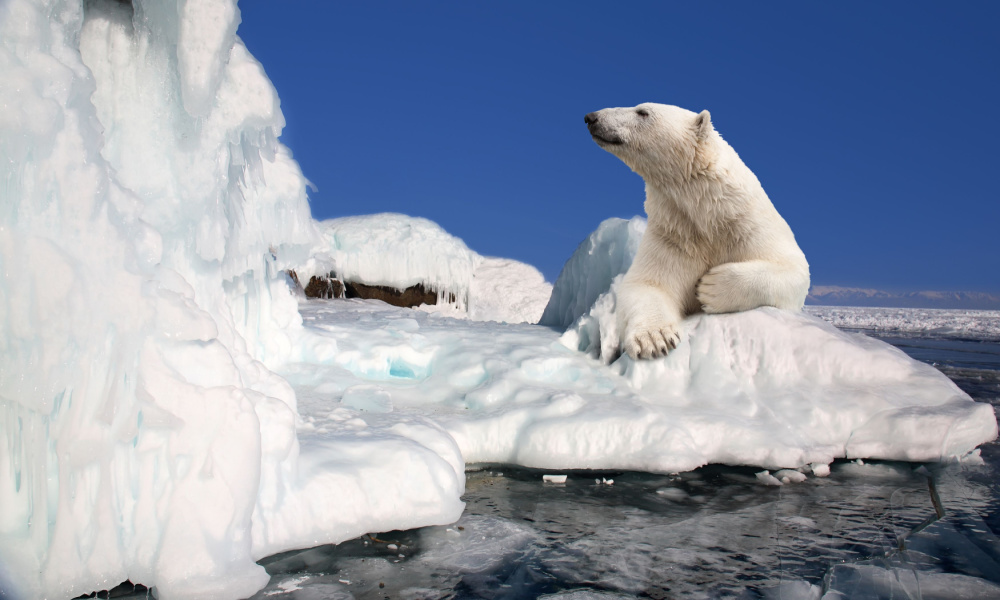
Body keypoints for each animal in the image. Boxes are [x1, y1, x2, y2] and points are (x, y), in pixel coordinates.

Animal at [584, 102, 812, 360]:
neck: (710, 216)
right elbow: (648, 284)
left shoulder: (750, 225)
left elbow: (793, 268)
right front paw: (654, 339)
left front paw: (711, 287)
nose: (591, 117)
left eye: (642, 112)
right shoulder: (674, 234)